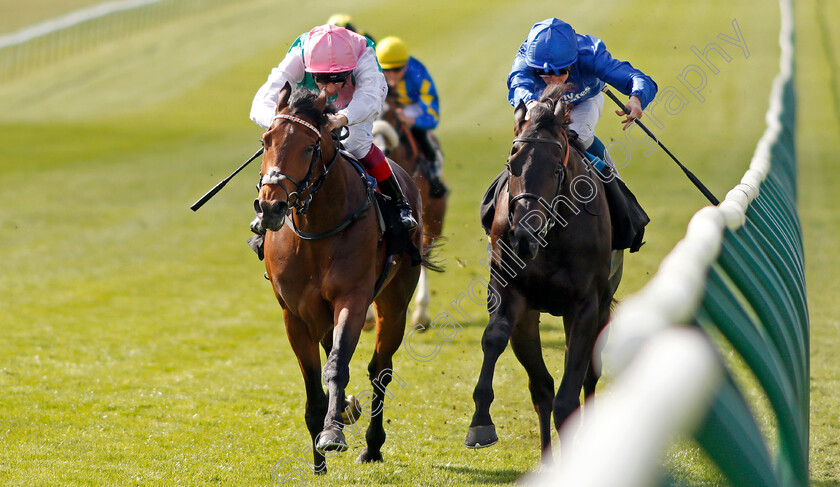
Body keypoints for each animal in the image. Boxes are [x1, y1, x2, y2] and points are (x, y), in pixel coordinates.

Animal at [254, 84, 426, 476]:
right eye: (266, 140)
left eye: (308, 147)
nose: (270, 207)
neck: (316, 229)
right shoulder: (295, 314)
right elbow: (313, 382)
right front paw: (318, 462)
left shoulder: (353, 298)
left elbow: (336, 365)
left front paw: (332, 433)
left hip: (395, 301)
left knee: (381, 369)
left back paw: (372, 445)